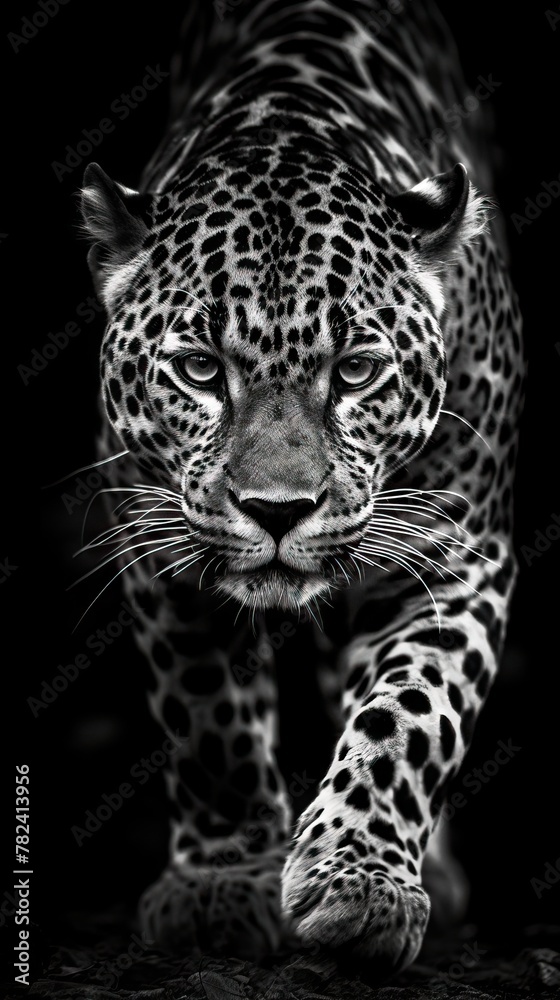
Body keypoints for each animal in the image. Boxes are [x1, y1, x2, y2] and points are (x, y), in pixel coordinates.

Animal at [79, 0, 524, 974]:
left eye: (355, 371)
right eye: (200, 369)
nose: (277, 512)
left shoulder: (454, 557)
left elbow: (410, 716)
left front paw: (359, 885)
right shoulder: (157, 543)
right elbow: (206, 717)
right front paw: (220, 884)